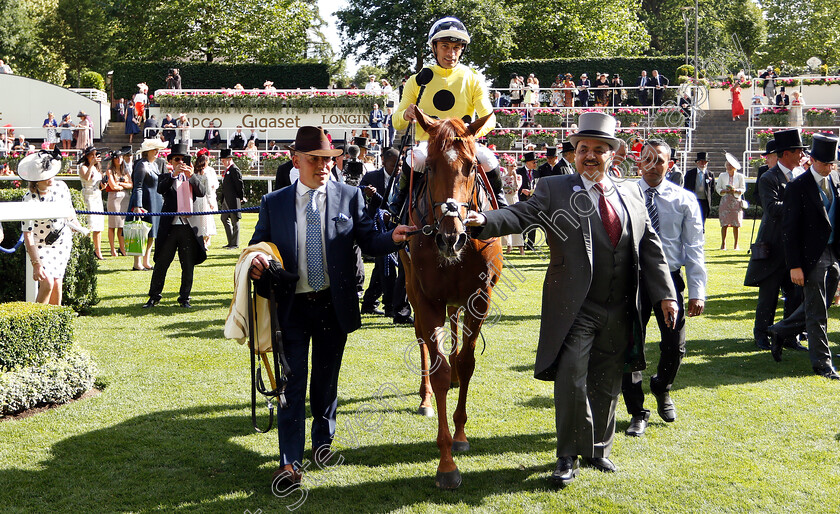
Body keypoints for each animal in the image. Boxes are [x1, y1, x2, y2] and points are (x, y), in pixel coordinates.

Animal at [402, 110, 506, 486]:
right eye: (430, 167)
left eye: (472, 166)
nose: (451, 237)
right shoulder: (427, 298)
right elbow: (440, 369)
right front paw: (446, 464)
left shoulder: (480, 295)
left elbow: (466, 362)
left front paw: (460, 435)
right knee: (422, 342)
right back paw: (425, 399)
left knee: (457, 332)